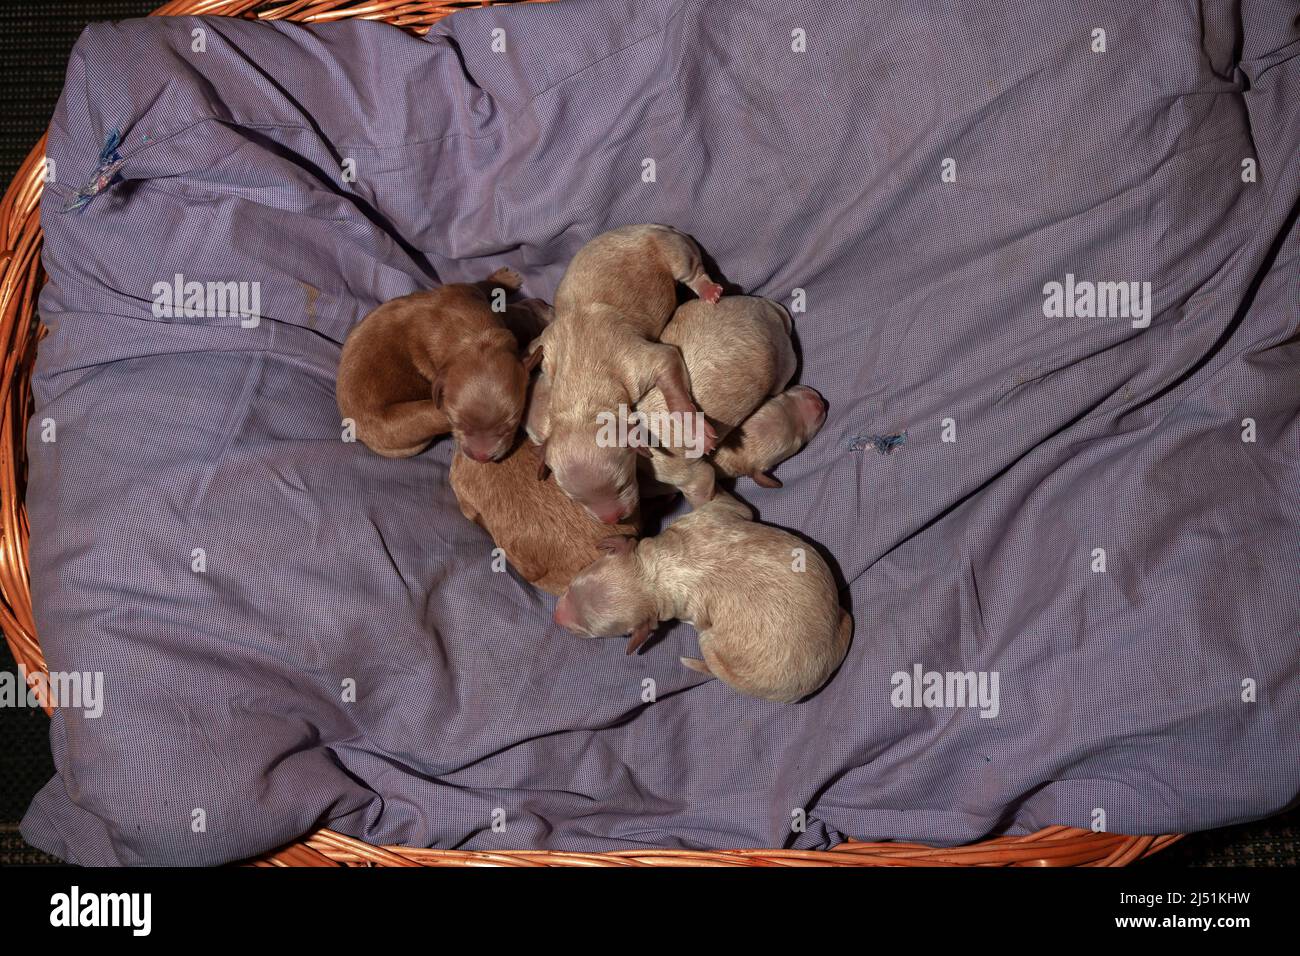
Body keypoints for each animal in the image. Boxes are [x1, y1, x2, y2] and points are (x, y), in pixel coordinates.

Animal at [340, 269, 543, 463]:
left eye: (511, 425)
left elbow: (482, 285)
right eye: (457, 423)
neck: (474, 337)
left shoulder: (464, 290)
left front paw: (504, 280)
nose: (481, 457)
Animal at [533, 221, 728, 528]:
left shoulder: (635, 361)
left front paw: (695, 429)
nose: (613, 520)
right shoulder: (551, 356)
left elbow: (670, 374)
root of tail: (653, 225)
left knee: (692, 269)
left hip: (674, 251)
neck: (580, 399)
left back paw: (707, 289)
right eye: (576, 500)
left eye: (623, 483)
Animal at [551, 494, 847, 702]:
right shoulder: (708, 517)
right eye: (569, 588)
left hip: (713, 648)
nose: (556, 617)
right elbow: (739, 507)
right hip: (843, 618)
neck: (655, 574)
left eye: (585, 633)